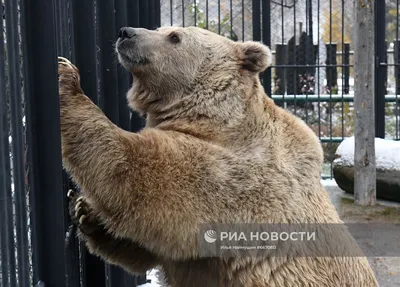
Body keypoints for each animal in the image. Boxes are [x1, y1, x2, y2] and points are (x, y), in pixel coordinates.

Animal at [57, 25, 378, 286]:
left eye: (175, 36)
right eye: (160, 28)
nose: (126, 33)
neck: (211, 119)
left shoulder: (233, 179)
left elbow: (137, 181)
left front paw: (65, 78)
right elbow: (146, 247)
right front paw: (84, 210)